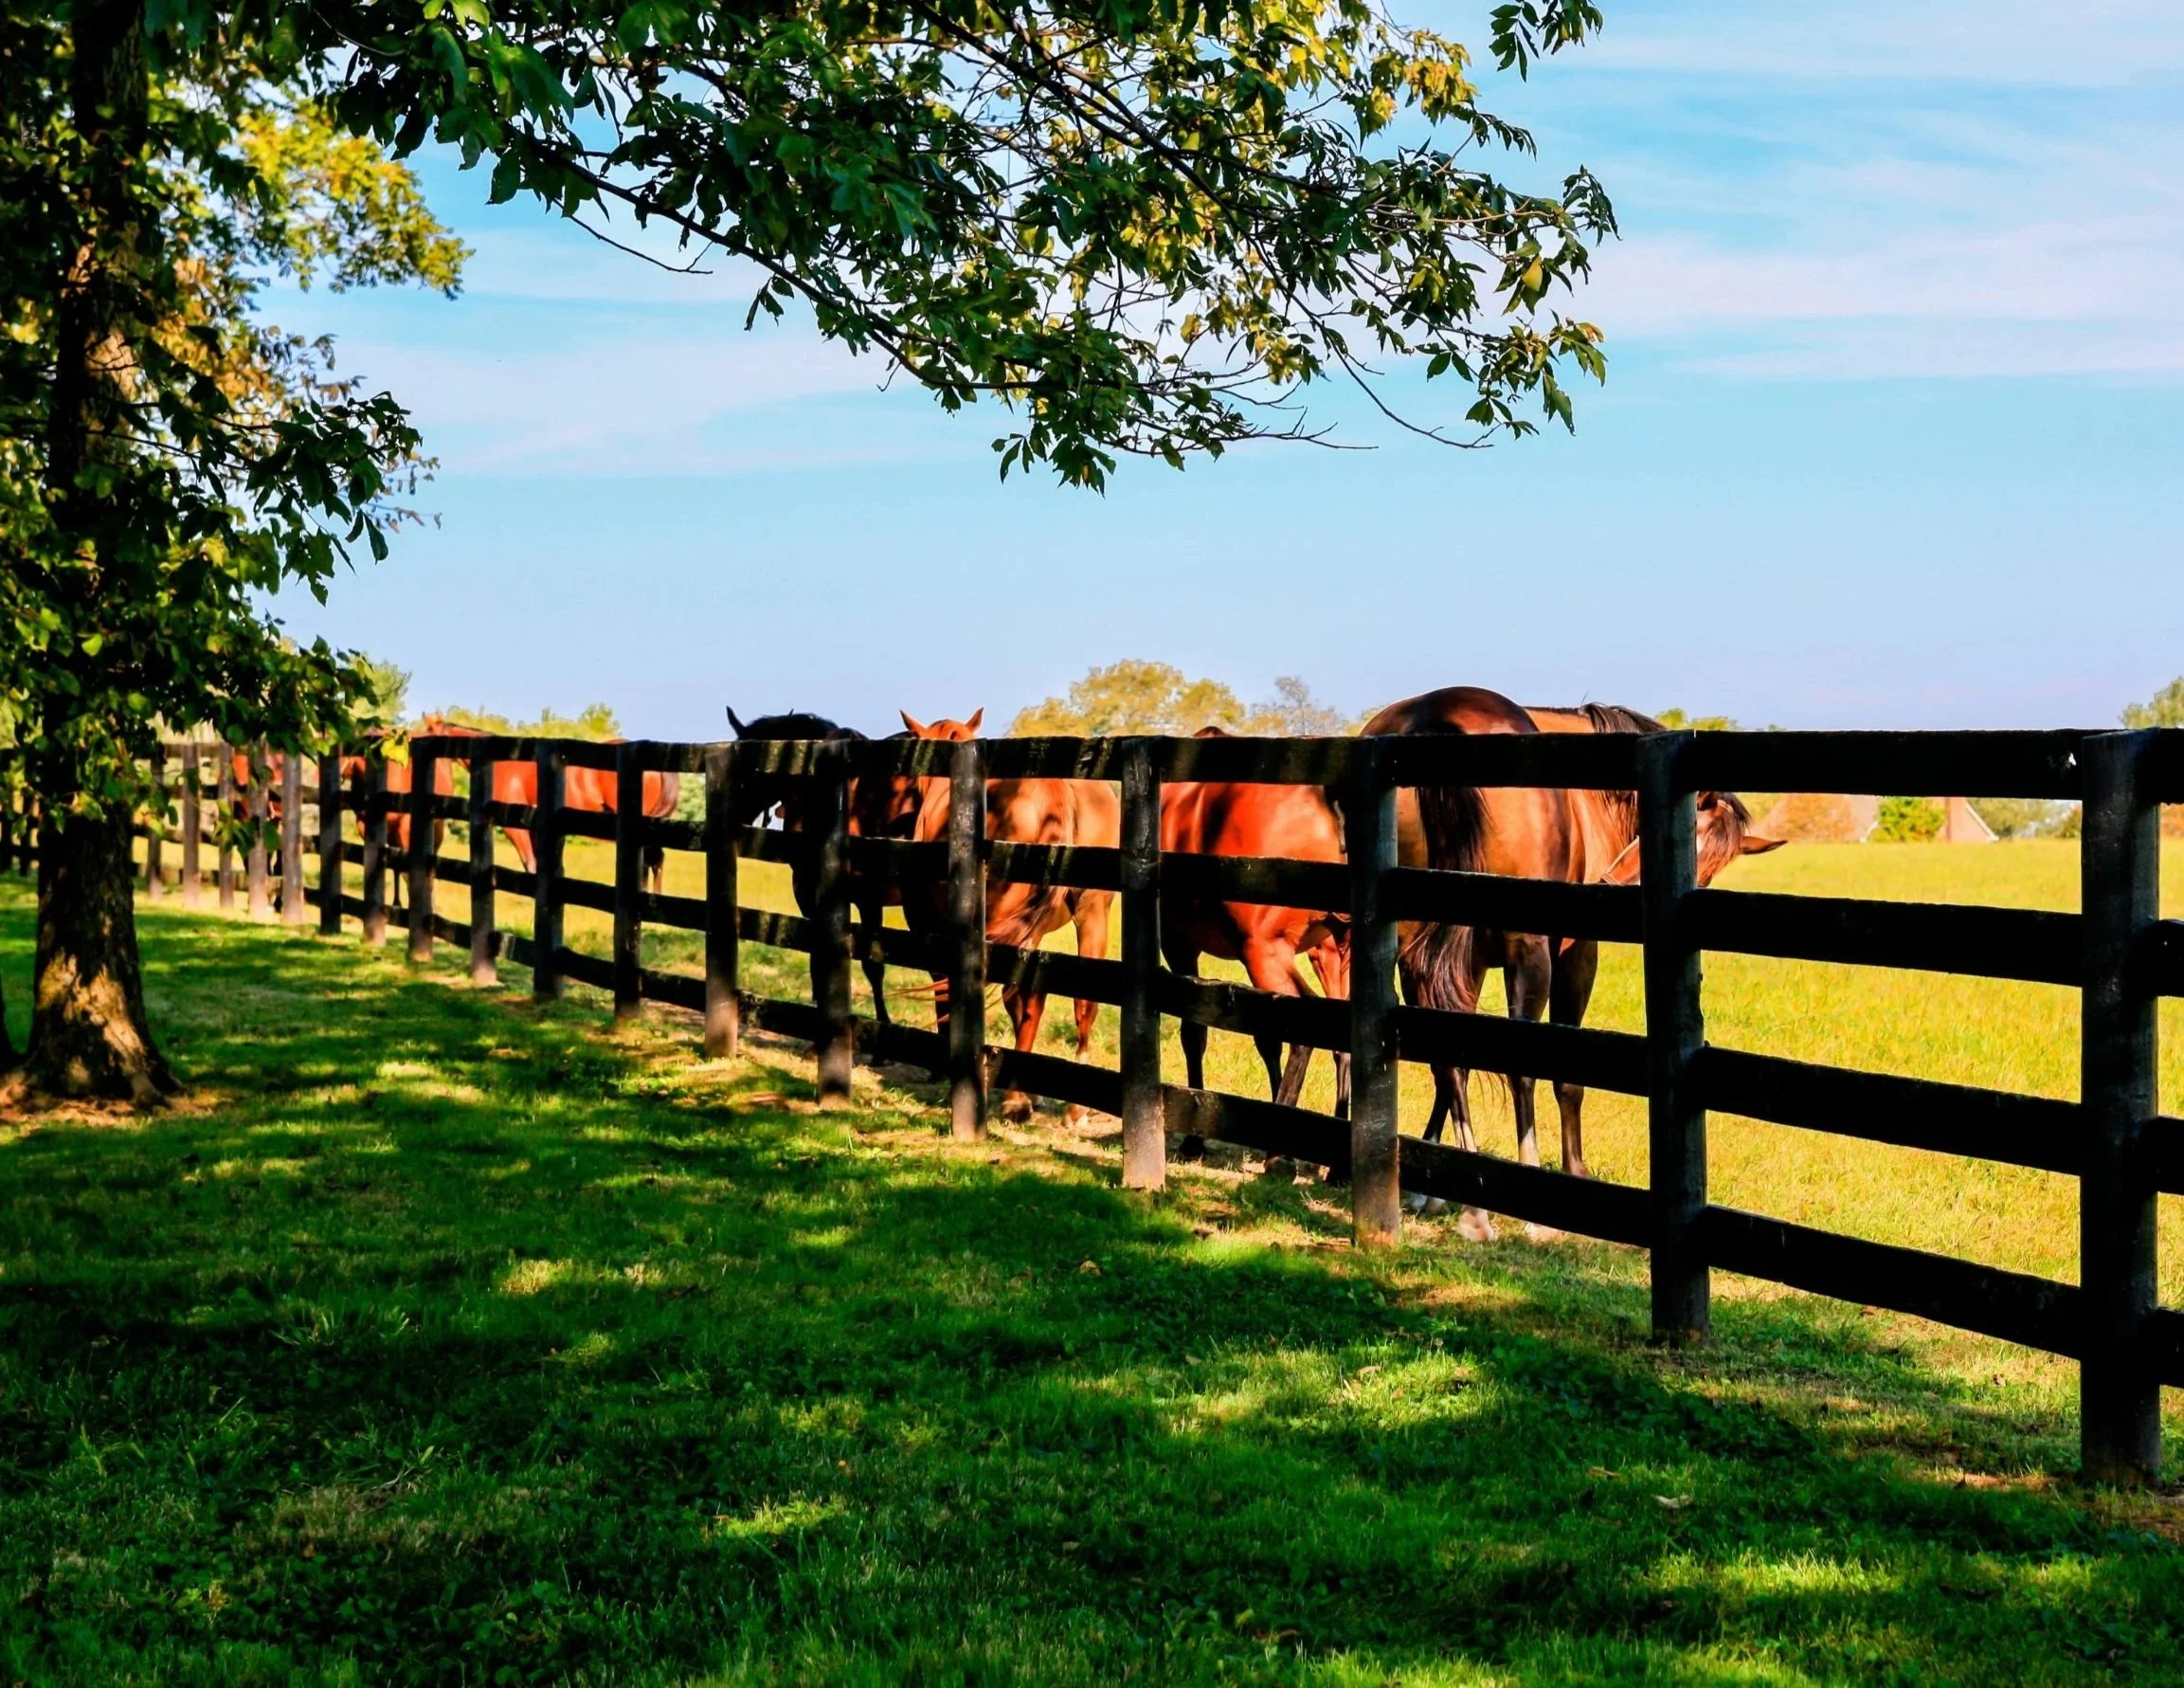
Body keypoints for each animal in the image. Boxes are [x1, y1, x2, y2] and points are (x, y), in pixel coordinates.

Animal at [1160, 727, 1352, 1118]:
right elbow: (1266, 1039)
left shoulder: (1178, 946)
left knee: (1302, 1027)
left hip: (1266, 954)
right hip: (1337, 949)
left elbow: (1194, 1031)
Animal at [1359, 686, 1781, 1201]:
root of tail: (1437, 714)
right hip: (1527, 952)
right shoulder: (1575, 954)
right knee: (1522, 1062)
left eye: (1707, 873)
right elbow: (1564, 1073)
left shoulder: (1463, 964)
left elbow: (1454, 1058)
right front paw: (1573, 1168)